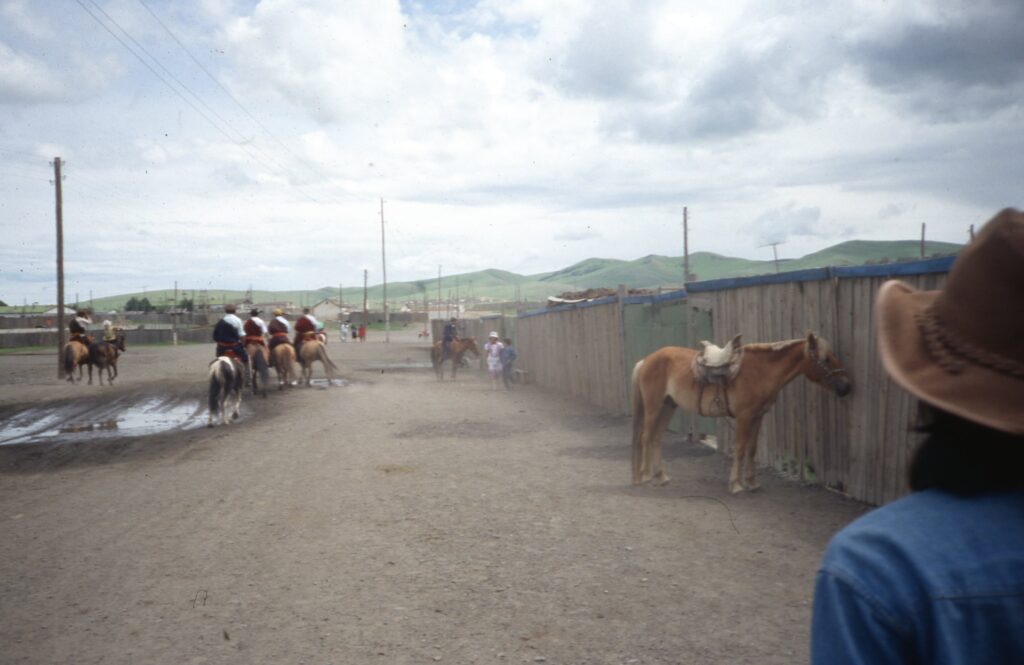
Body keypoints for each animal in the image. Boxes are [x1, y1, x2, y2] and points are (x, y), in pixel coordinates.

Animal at [626, 331, 851, 491]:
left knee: (656, 438)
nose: (846, 386)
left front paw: (752, 482)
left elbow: (752, 449)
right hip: (654, 406)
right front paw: (735, 484)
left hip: (668, 406)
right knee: (646, 437)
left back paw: (661, 477)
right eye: (827, 359)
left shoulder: (758, 417)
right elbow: (741, 448)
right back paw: (644, 476)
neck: (759, 371)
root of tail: (646, 360)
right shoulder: (744, 417)